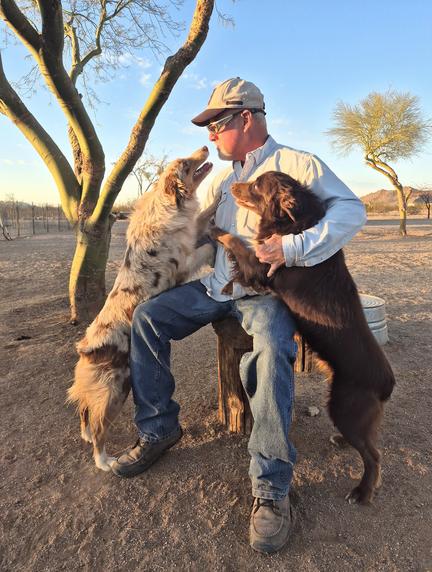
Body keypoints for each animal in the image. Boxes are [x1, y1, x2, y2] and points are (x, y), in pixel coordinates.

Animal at [69, 146, 221, 470]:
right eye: (186, 164)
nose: (205, 147)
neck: (168, 205)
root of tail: (85, 348)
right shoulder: (183, 264)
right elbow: (206, 245)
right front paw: (219, 236)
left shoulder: (190, 235)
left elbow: (202, 217)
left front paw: (216, 202)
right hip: (115, 390)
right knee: (98, 427)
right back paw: (105, 461)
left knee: (85, 413)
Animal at [211, 171, 396, 504]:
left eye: (256, 185)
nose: (232, 185)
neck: (293, 222)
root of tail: (387, 383)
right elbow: (238, 254)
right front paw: (228, 283)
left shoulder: (264, 266)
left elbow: (237, 242)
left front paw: (213, 229)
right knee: (366, 441)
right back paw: (342, 441)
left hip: (346, 407)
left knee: (374, 456)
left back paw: (362, 491)